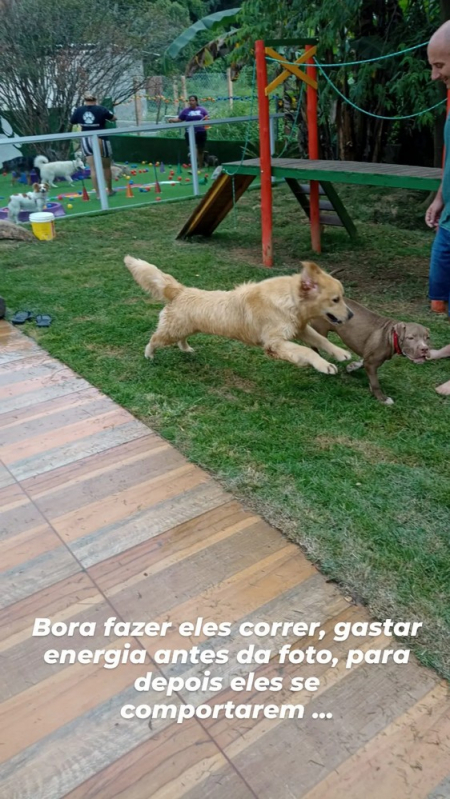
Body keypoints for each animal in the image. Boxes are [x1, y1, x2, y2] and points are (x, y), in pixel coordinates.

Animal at [125, 260, 354, 378]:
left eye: (342, 296)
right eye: (336, 299)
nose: (351, 315)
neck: (289, 299)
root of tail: (180, 290)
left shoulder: (300, 328)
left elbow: (321, 340)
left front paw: (340, 353)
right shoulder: (274, 343)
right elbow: (306, 351)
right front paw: (323, 365)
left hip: (185, 328)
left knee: (180, 339)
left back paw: (186, 349)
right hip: (171, 330)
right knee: (154, 339)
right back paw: (149, 354)